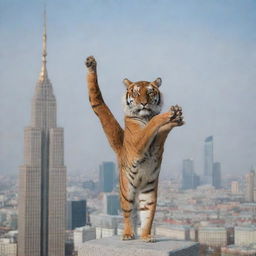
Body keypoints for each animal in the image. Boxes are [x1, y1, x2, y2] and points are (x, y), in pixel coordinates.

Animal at [84, 55, 184, 241]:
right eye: (136, 93)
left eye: (150, 92)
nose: (144, 103)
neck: (145, 116)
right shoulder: (138, 142)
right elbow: (153, 123)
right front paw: (169, 114)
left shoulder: (157, 143)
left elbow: (161, 131)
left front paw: (176, 117)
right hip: (127, 191)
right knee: (127, 214)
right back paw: (128, 234)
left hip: (149, 192)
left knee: (146, 213)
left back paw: (146, 236)